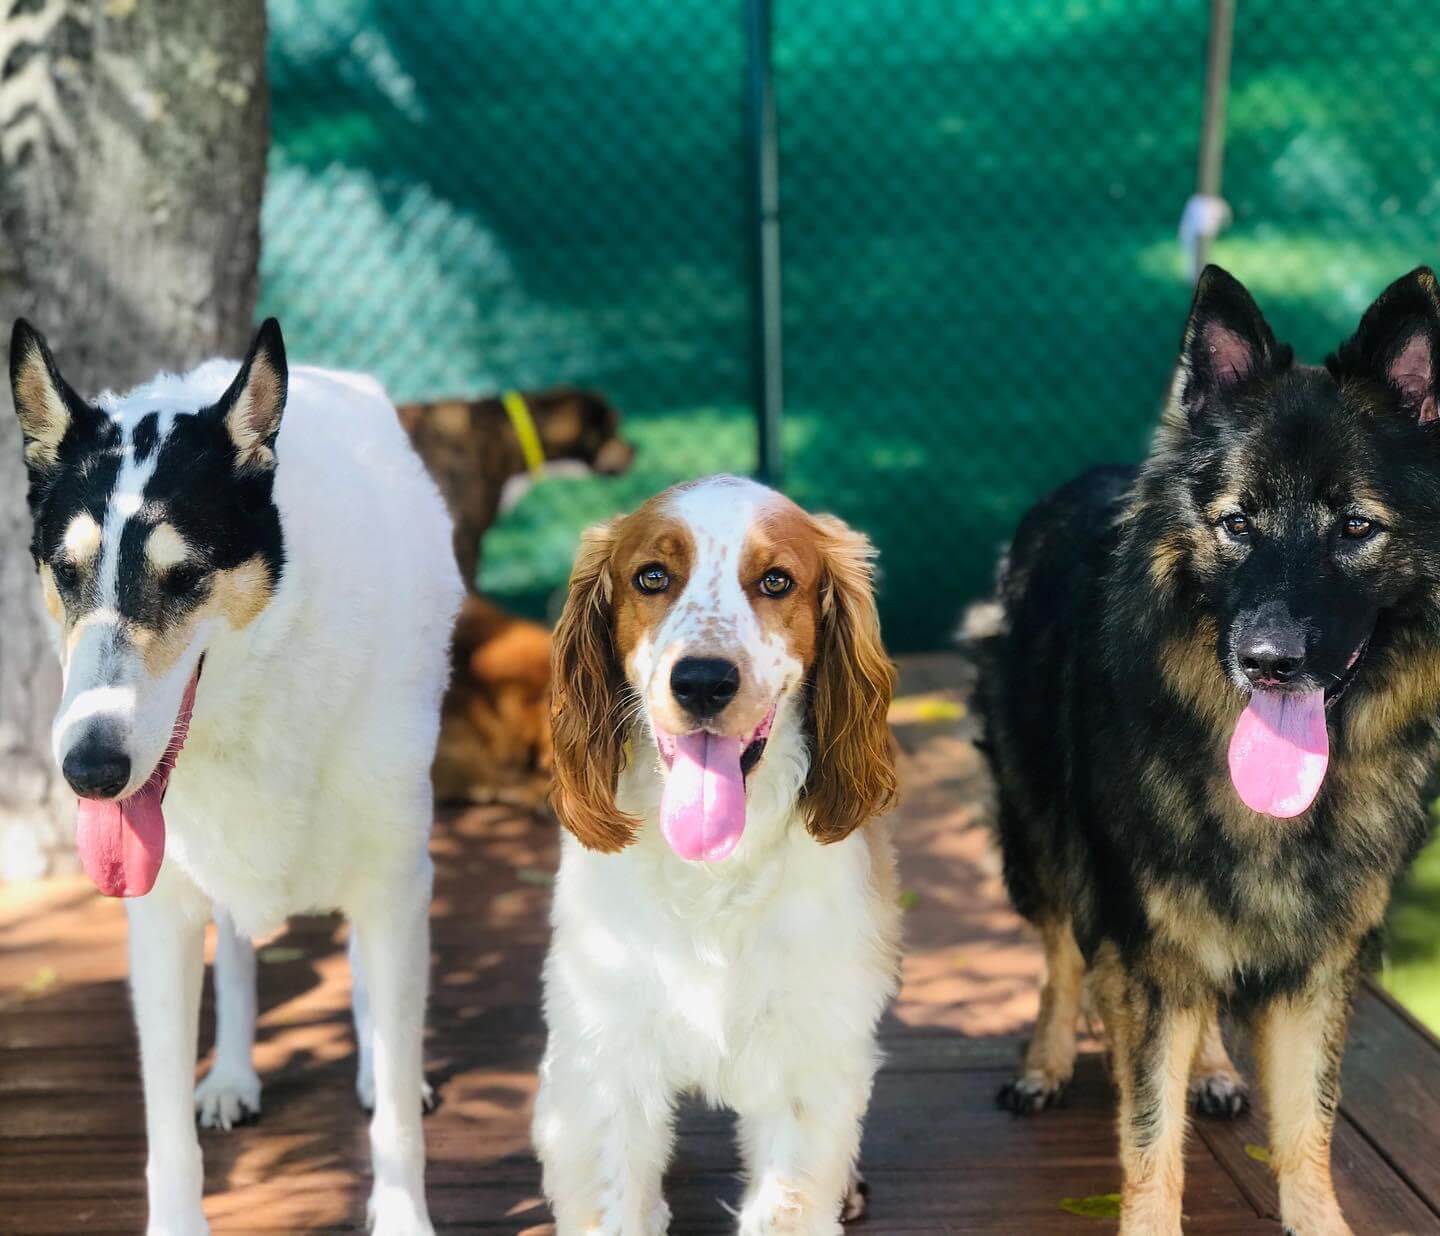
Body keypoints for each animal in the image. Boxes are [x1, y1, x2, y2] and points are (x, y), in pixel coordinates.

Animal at [9, 319, 460, 1233]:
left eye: (186, 577)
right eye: (65, 574)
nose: (91, 772)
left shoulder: (397, 876)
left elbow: (397, 1108)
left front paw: (401, 1210)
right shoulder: (159, 915)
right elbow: (165, 1128)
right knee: (241, 951)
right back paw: (231, 1077)